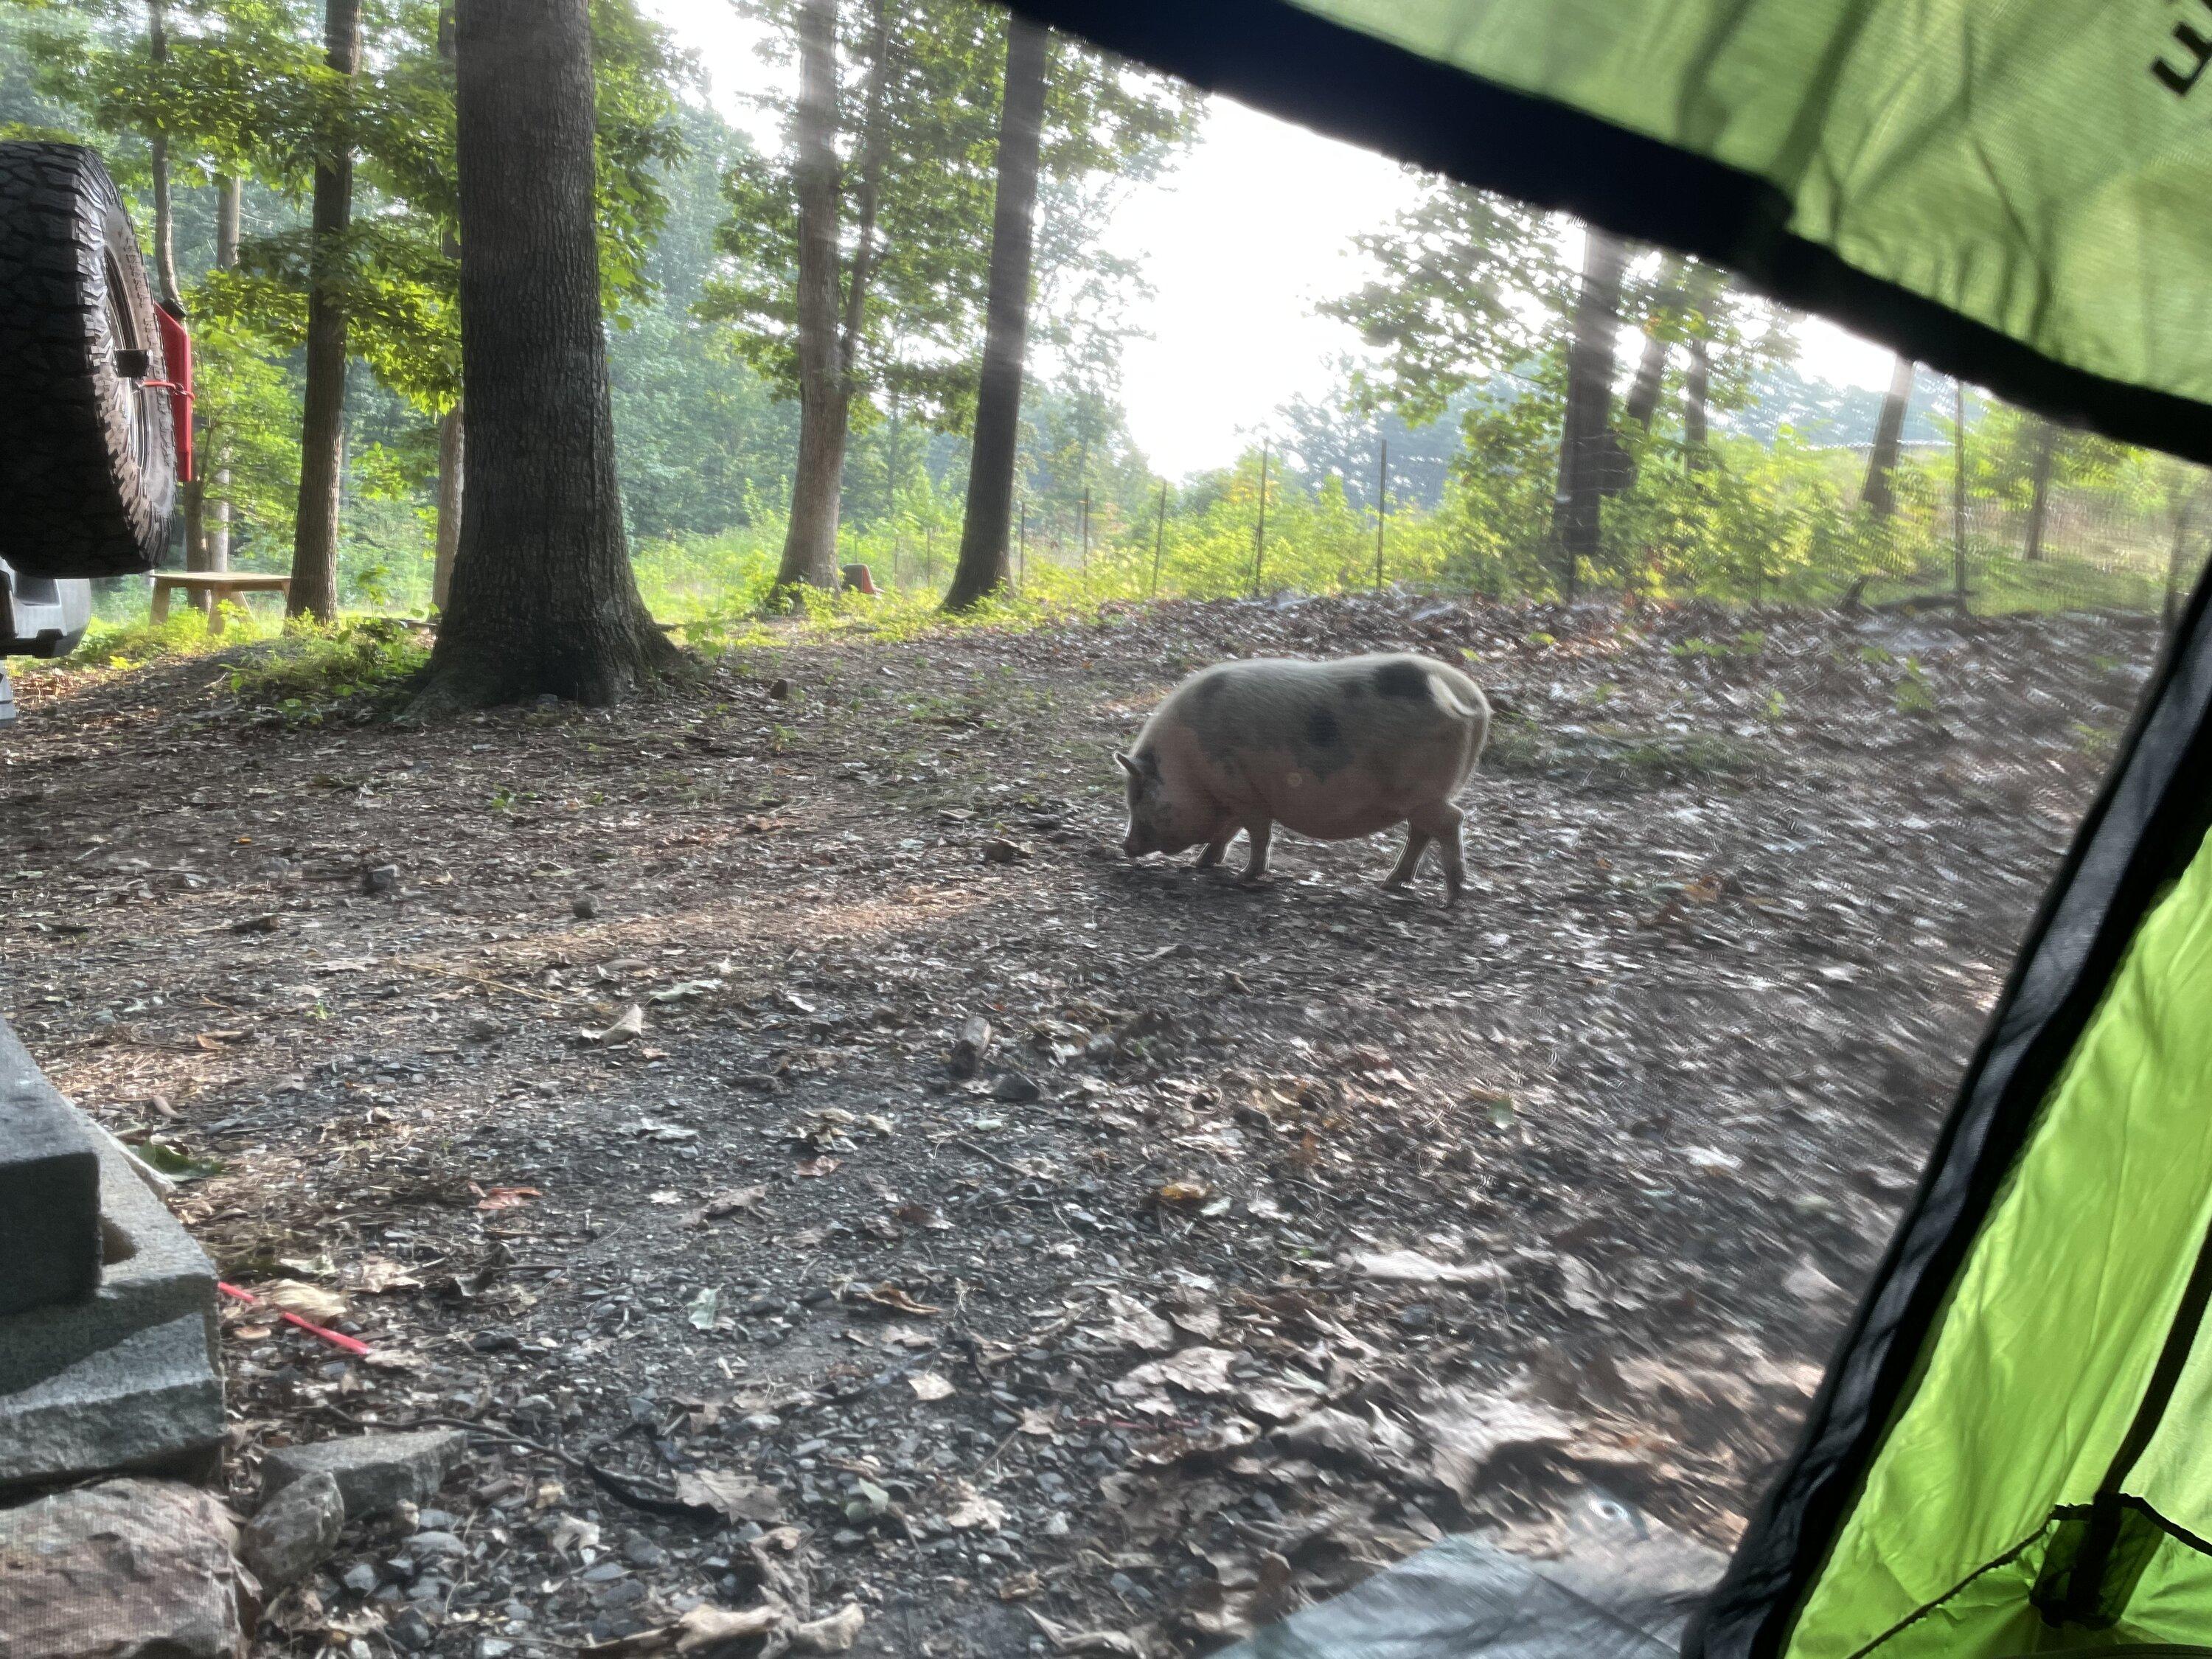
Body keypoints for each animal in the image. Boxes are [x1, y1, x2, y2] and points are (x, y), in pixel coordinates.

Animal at [1116, 652, 1490, 905]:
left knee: (1451, 821)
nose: (1125, 846)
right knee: (1422, 831)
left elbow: (1257, 834)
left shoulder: (1241, 789)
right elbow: (1229, 831)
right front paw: (1203, 864)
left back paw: (1452, 898)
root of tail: (1473, 701)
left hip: (1422, 792)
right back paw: (1390, 884)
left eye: (1140, 796)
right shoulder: (1237, 795)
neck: (1186, 766)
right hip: (1421, 797)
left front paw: (1244, 876)